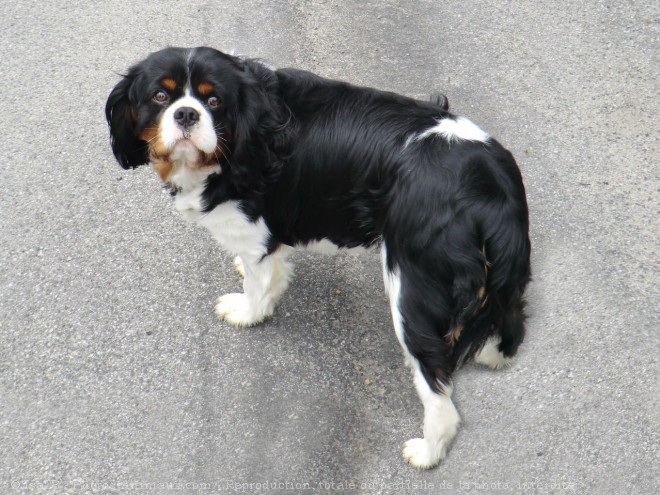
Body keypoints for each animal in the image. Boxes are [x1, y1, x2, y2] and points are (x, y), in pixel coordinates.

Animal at [105, 46, 532, 468]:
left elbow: (259, 284)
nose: (186, 114)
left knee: (438, 388)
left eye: (214, 101)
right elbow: (270, 267)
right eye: (160, 96)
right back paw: (493, 355)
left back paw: (427, 451)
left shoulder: (254, 226)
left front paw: (247, 312)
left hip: (413, 290)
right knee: (510, 316)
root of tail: (492, 187)